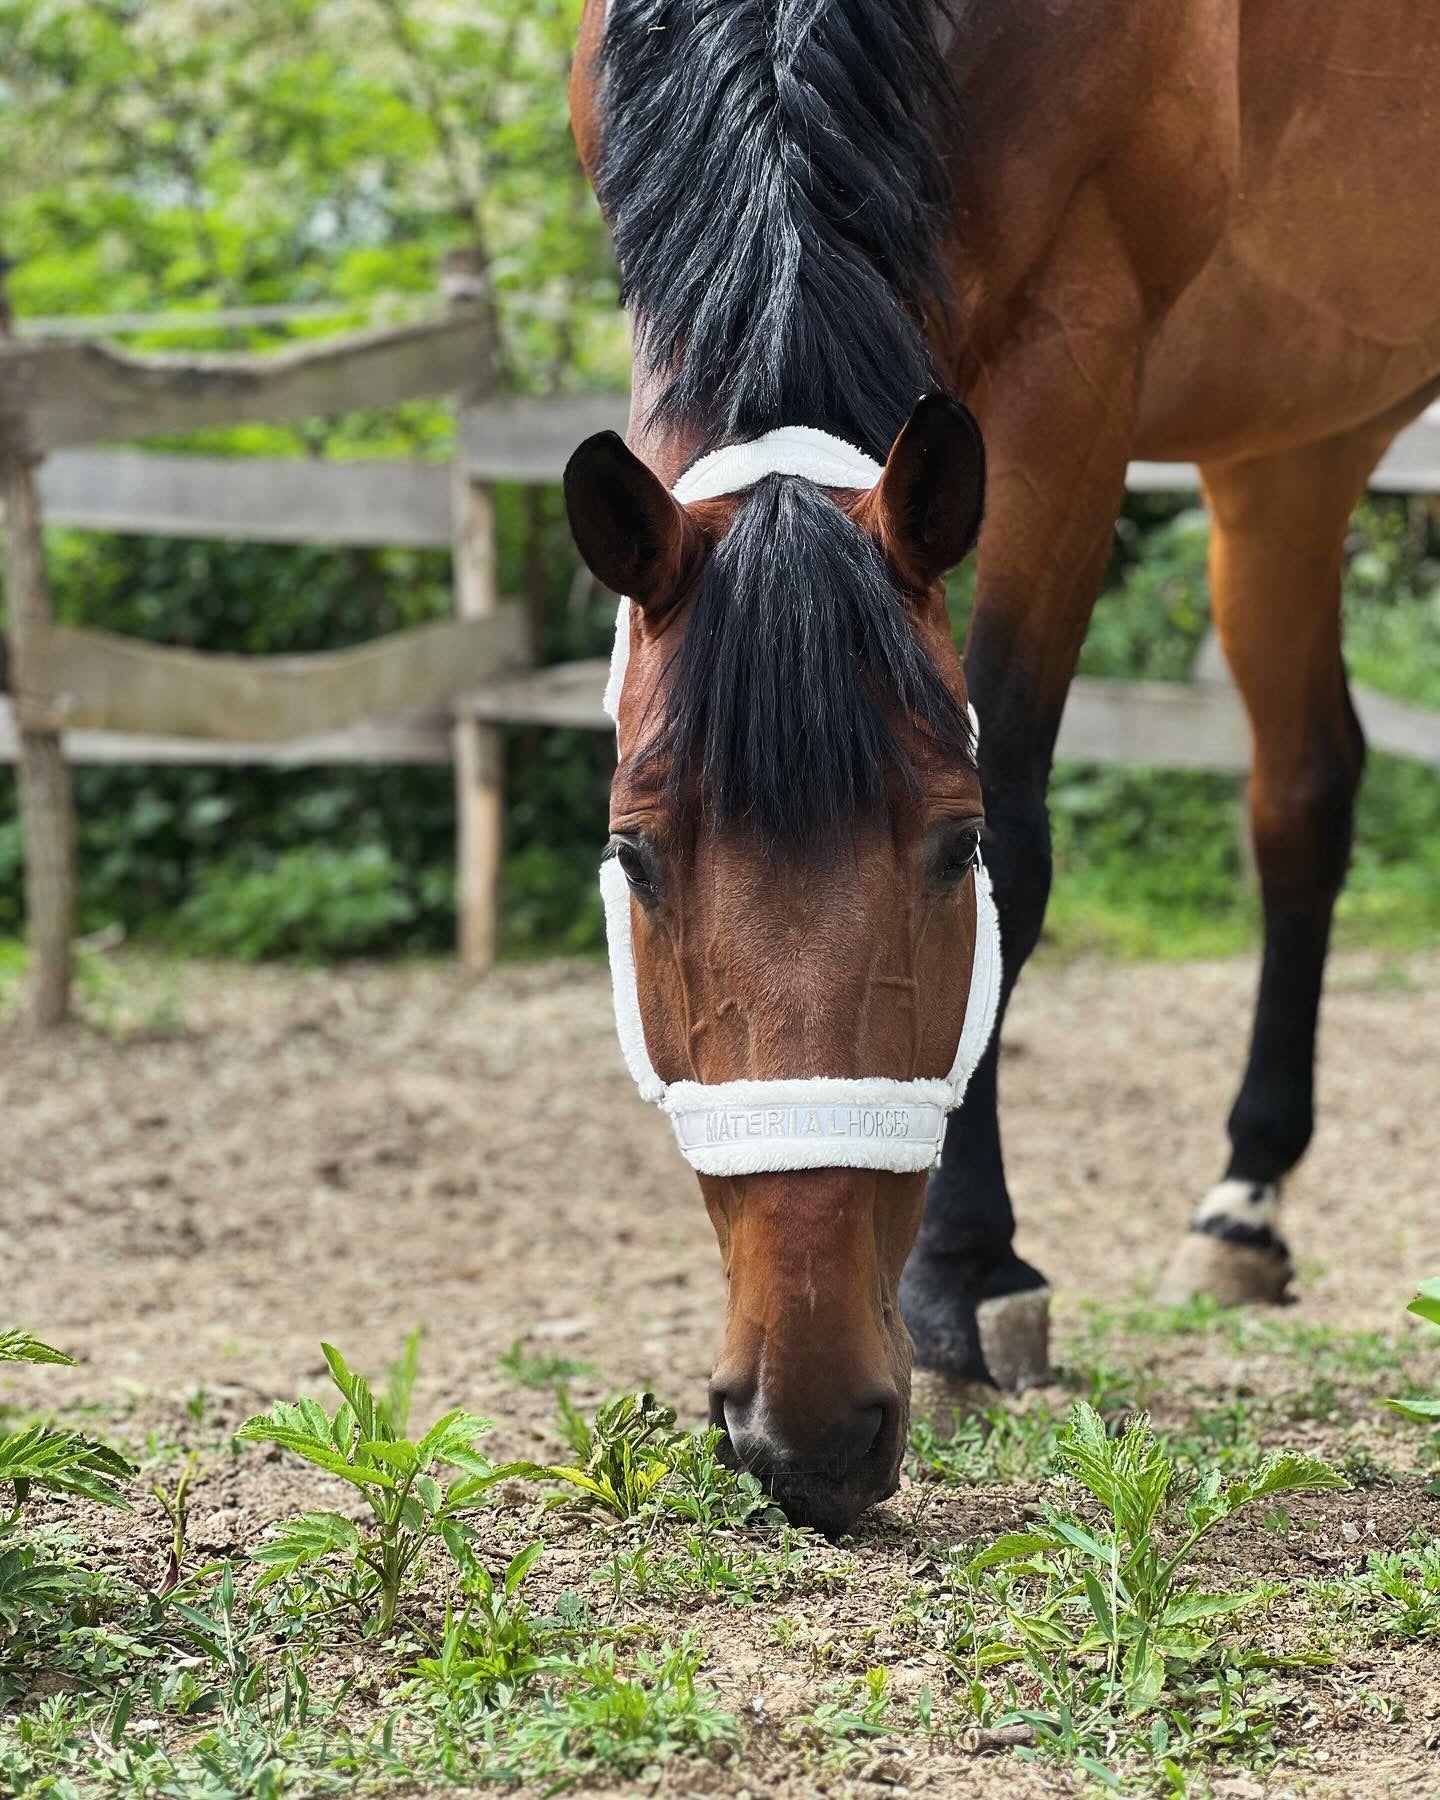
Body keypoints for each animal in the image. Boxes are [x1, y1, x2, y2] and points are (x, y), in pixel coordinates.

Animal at [561, 0, 1440, 1533]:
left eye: (951, 848)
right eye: (634, 855)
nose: (807, 1427)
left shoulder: (1075, 362)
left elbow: (1026, 822)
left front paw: (966, 1282)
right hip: (1295, 441)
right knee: (1303, 790)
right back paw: (1245, 1201)